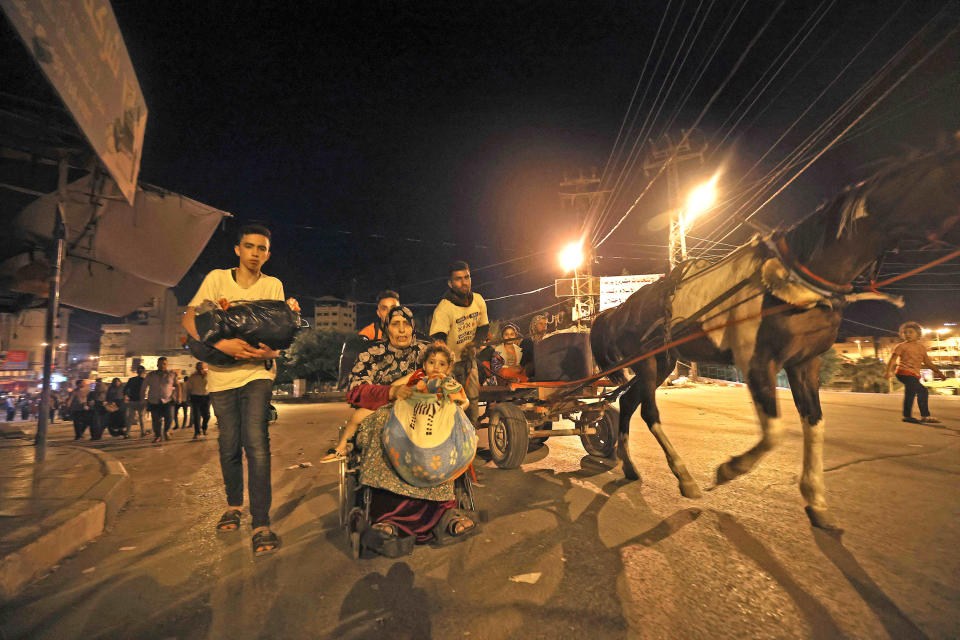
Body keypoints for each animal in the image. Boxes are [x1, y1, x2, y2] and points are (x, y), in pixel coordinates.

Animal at [588, 146, 960, 528]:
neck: (797, 278)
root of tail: (620, 310)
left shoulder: (805, 363)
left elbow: (814, 422)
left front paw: (815, 499)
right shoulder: (758, 362)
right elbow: (775, 430)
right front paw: (729, 469)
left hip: (662, 363)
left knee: (628, 404)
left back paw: (630, 466)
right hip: (647, 363)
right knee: (649, 412)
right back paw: (685, 477)